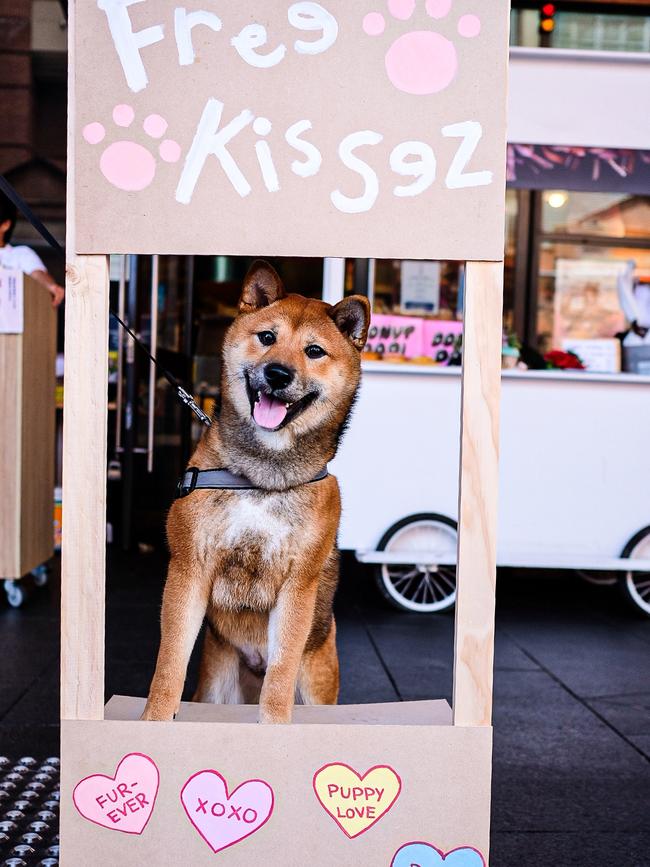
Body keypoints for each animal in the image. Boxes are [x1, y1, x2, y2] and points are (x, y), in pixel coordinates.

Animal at [142, 262, 370, 724]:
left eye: (314, 351)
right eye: (267, 337)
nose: (278, 373)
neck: (263, 476)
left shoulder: (298, 585)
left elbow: (280, 673)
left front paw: (274, 723)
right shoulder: (188, 569)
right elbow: (169, 661)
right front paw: (154, 719)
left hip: (318, 681)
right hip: (217, 686)